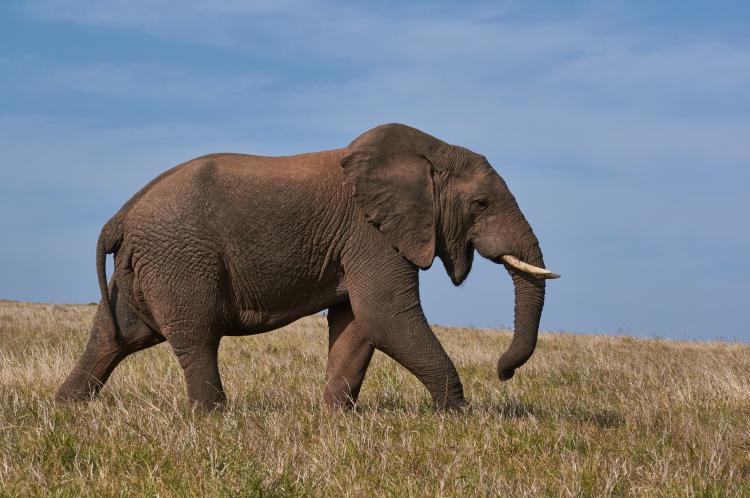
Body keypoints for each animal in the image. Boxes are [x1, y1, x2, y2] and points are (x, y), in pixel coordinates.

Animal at [56, 123, 559, 411]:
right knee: (196, 337)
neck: (428, 152)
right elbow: (386, 316)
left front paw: (334, 419)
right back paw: (214, 419)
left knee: (115, 336)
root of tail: (122, 216)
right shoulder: (370, 233)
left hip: (145, 267)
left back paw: (66, 410)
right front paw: (456, 416)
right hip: (179, 258)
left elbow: (357, 324)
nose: (503, 372)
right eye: (481, 204)